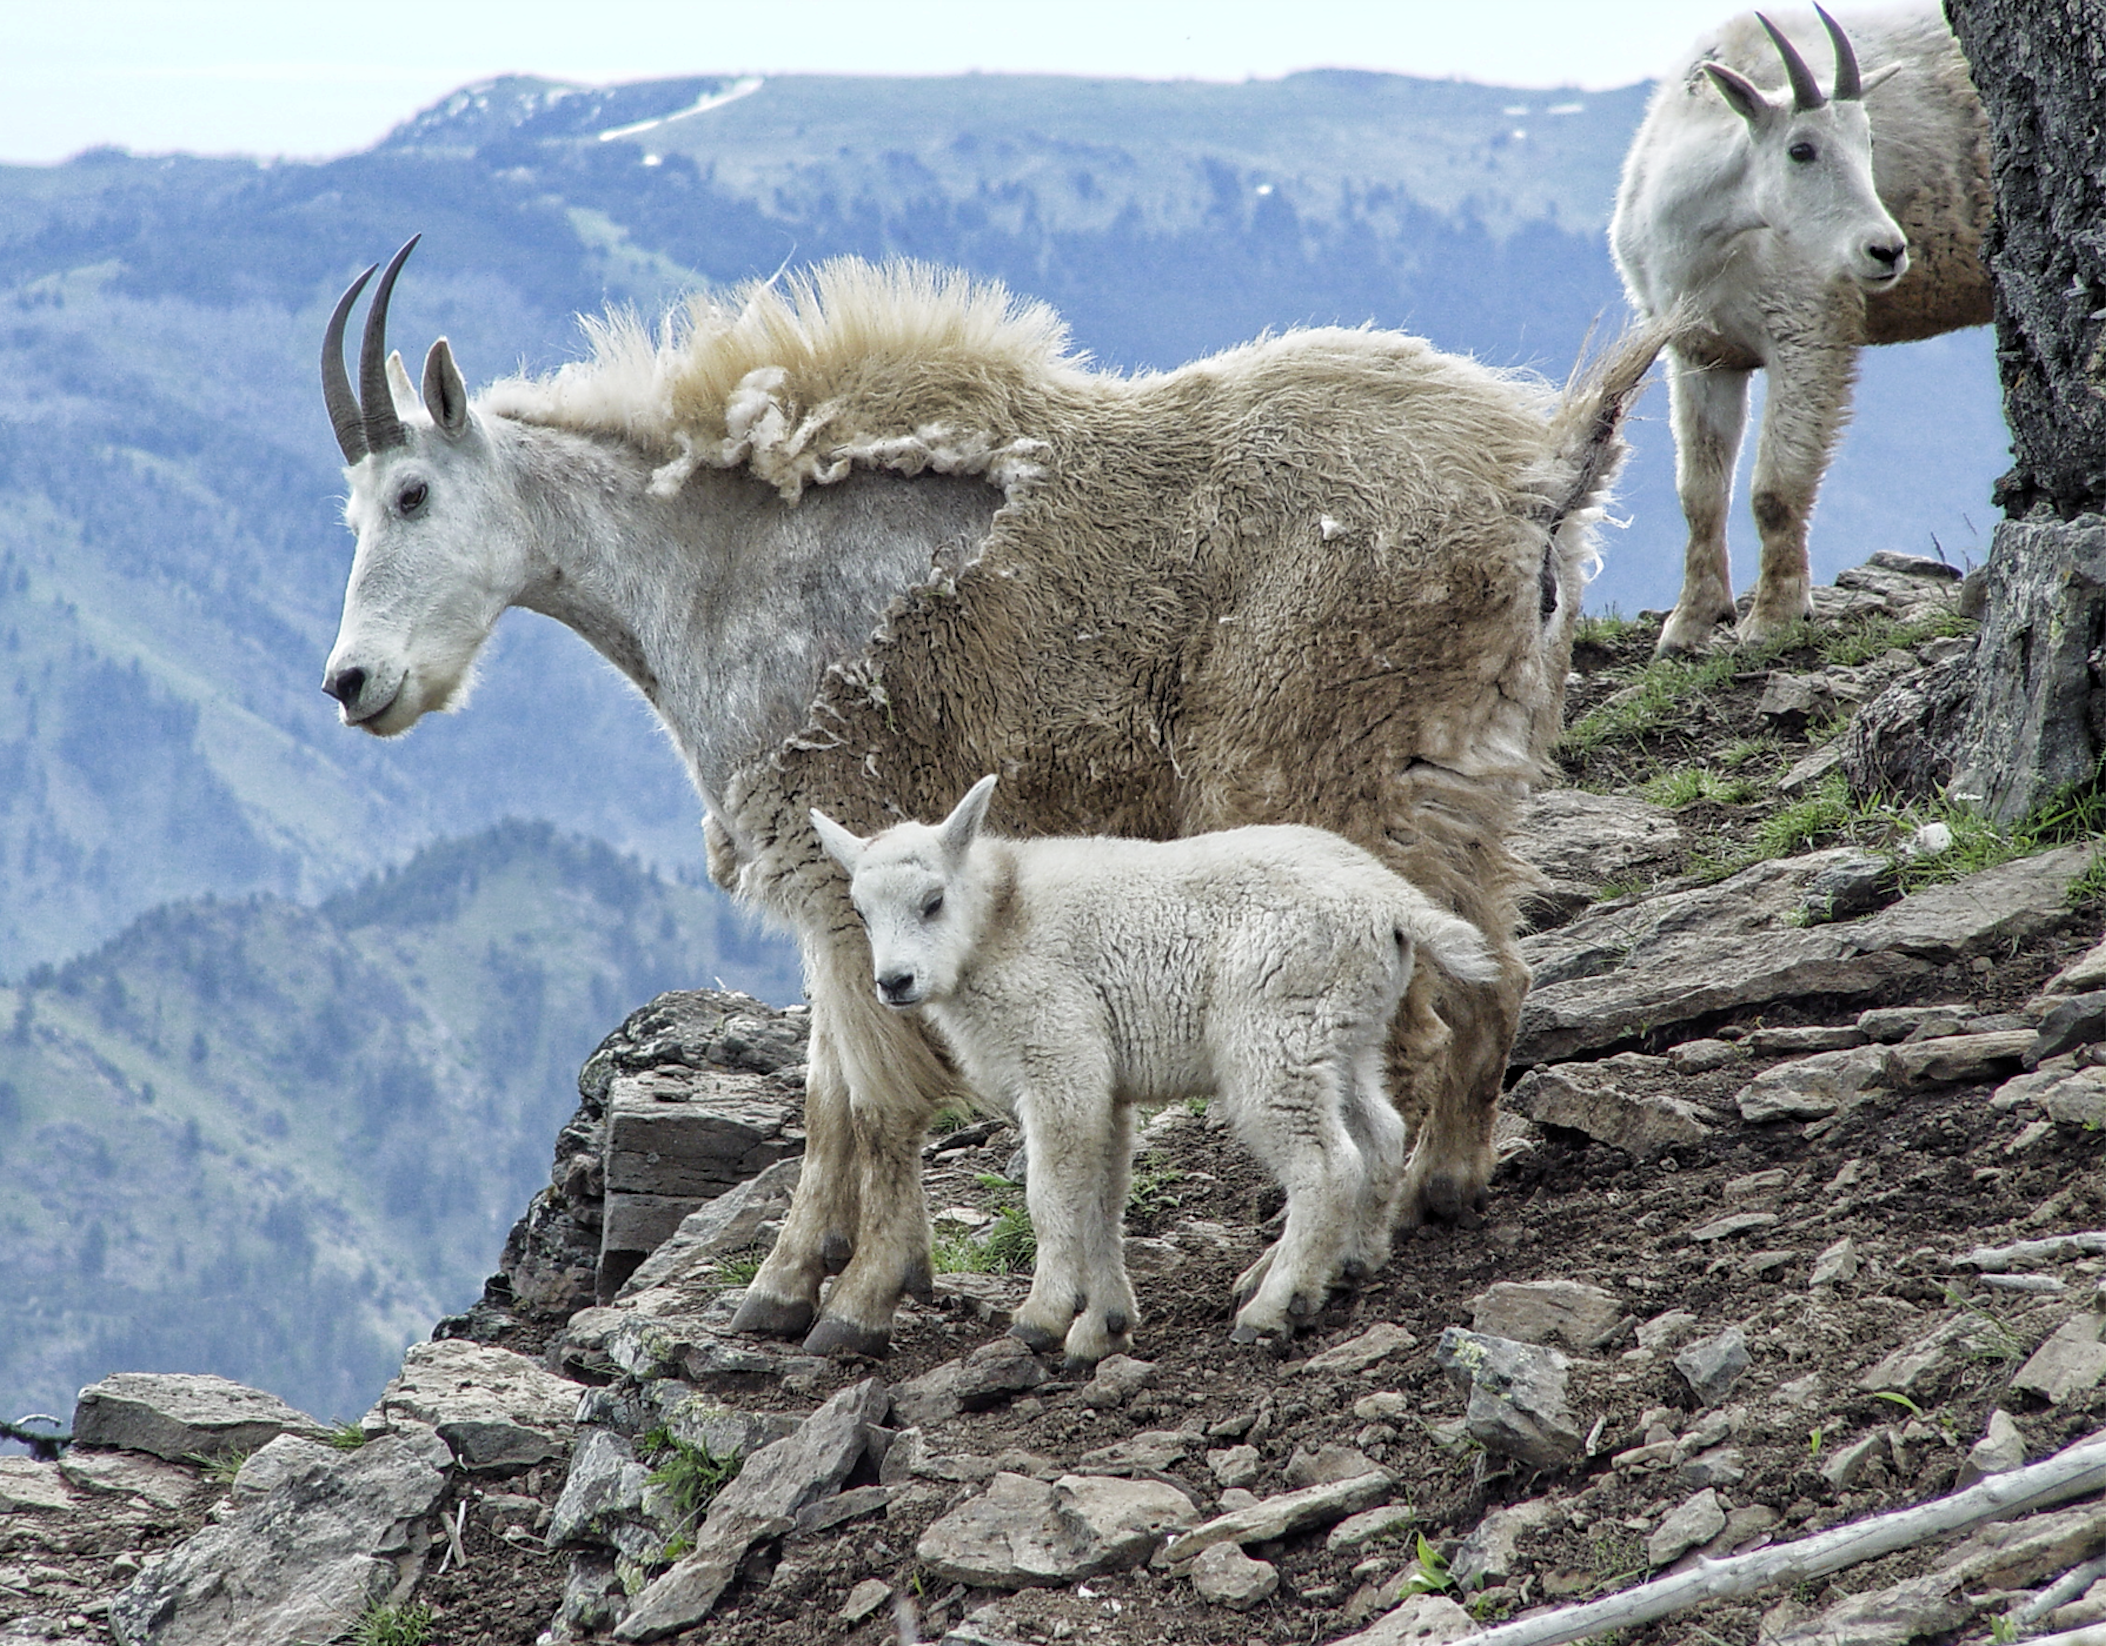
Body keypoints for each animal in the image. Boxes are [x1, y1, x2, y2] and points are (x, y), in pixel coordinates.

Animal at [812, 776, 1498, 1361]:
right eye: (862, 913)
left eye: (933, 901)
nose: (894, 982)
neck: (1001, 918)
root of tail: (1391, 905)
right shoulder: (1104, 1087)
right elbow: (1102, 1196)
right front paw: (1104, 1326)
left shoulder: (1059, 1060)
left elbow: (1051, 1193)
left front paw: (1042, 1318)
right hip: (1341, 1034)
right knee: (1379, 1130)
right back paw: (1353, 1261)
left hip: (1273, 1035)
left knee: (1327, 1165)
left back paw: (1274, 1305)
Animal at [1611, 4, 1990, 653]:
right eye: (1801, 149)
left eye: (1869, 141)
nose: (1886, 250)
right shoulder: (1700, 351)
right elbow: (1700, 494)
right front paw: (1688, 625)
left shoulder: (1809, 328)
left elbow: (1775, 487)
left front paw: (1774, 618)